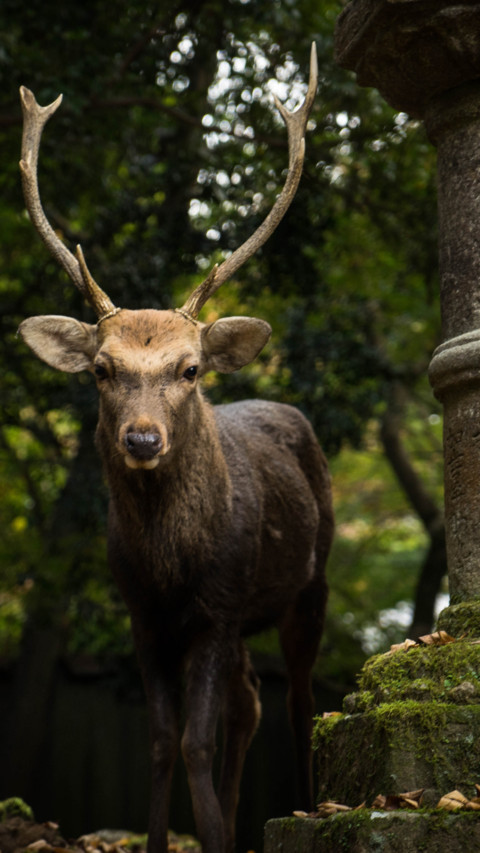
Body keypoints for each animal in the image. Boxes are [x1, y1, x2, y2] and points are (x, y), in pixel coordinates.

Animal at [17, 44, 333, 853]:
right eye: (102, 369)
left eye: (189, 369)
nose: (141, 436)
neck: (171, 562)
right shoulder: (144, 613)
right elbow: (162, 743)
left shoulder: (217, 605)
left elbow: (194, 739)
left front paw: (217, 832)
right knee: (251, 700)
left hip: (307, 581)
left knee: (298, 700)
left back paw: (305, 810)